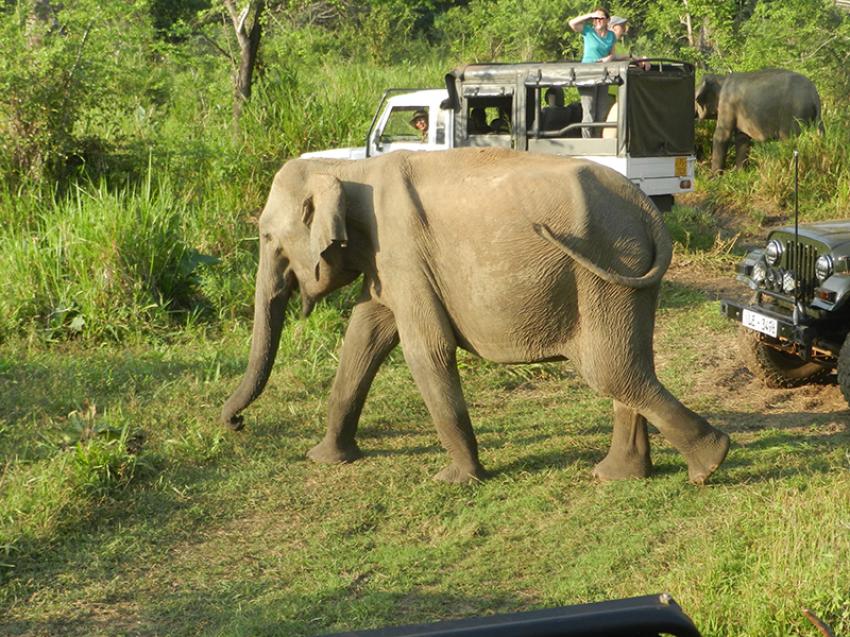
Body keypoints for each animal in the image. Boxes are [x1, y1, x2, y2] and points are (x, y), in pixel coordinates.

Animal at [221, 148, 730, 484]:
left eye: (266, 238)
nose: (236, 424)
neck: (349, 169)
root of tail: (649, 210)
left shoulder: (404, 252)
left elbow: (426, 349)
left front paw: (457, 480)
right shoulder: (387, 264)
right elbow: (365, 336)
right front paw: (325, 458)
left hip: (608, 268)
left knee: (611, 370)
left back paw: (709, 464)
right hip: (630, 276)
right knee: (629, 364)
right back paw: (621, 475)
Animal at [695, 68, 823, 171]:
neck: (722, 78)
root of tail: (814, 95)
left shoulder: (727, 104)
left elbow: (722, 136)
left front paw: (714, 177)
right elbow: (742, 138)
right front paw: (740, 173)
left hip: (794, 114)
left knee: (788, 140)